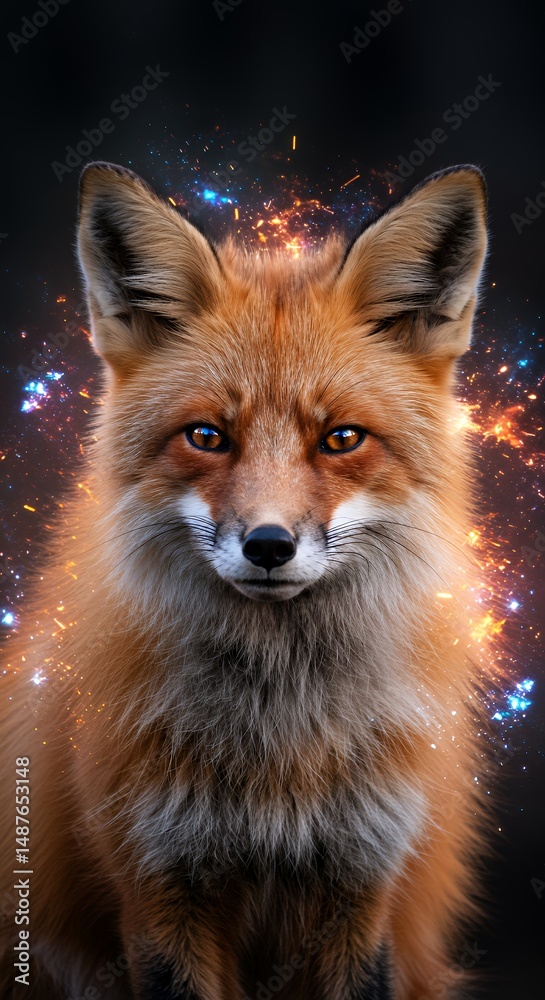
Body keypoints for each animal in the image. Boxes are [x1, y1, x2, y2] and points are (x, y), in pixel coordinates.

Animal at [0, 161, 490, 1000]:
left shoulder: (365, 883)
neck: (277, 750)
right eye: (206, 436)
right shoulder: (158, 884)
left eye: (341, 439)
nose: (268, 546)